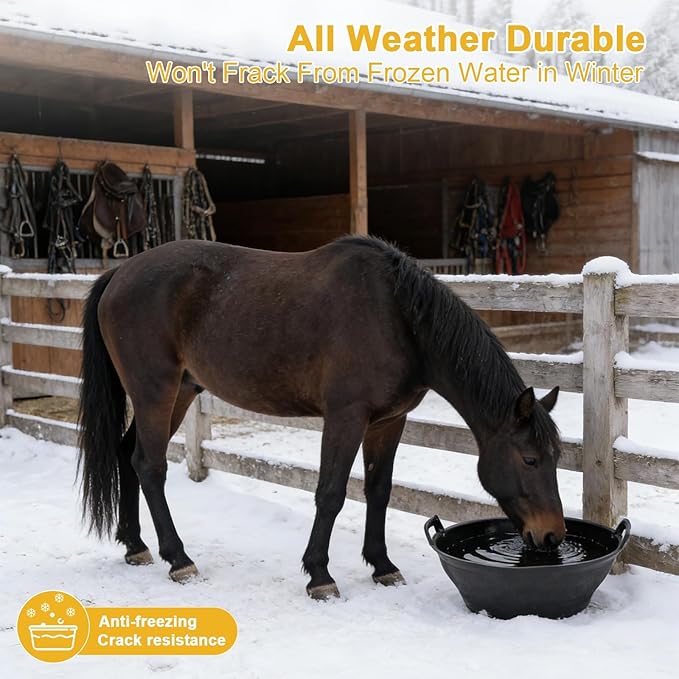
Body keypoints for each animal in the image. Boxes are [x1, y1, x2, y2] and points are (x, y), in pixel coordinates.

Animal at [78, 235, 565, 600]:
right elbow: (330, 493)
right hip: (154, 392)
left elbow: (379, 491)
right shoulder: (346, 417)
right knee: (150, 466)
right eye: (530, 460)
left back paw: (135, 545)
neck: (397, 318)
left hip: (178, 392)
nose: (553, 537)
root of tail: (120, 273)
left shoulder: (388, 422)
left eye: (556, 457)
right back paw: (178, 559)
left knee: (128, 456)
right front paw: (319, 575)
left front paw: (382, 566)